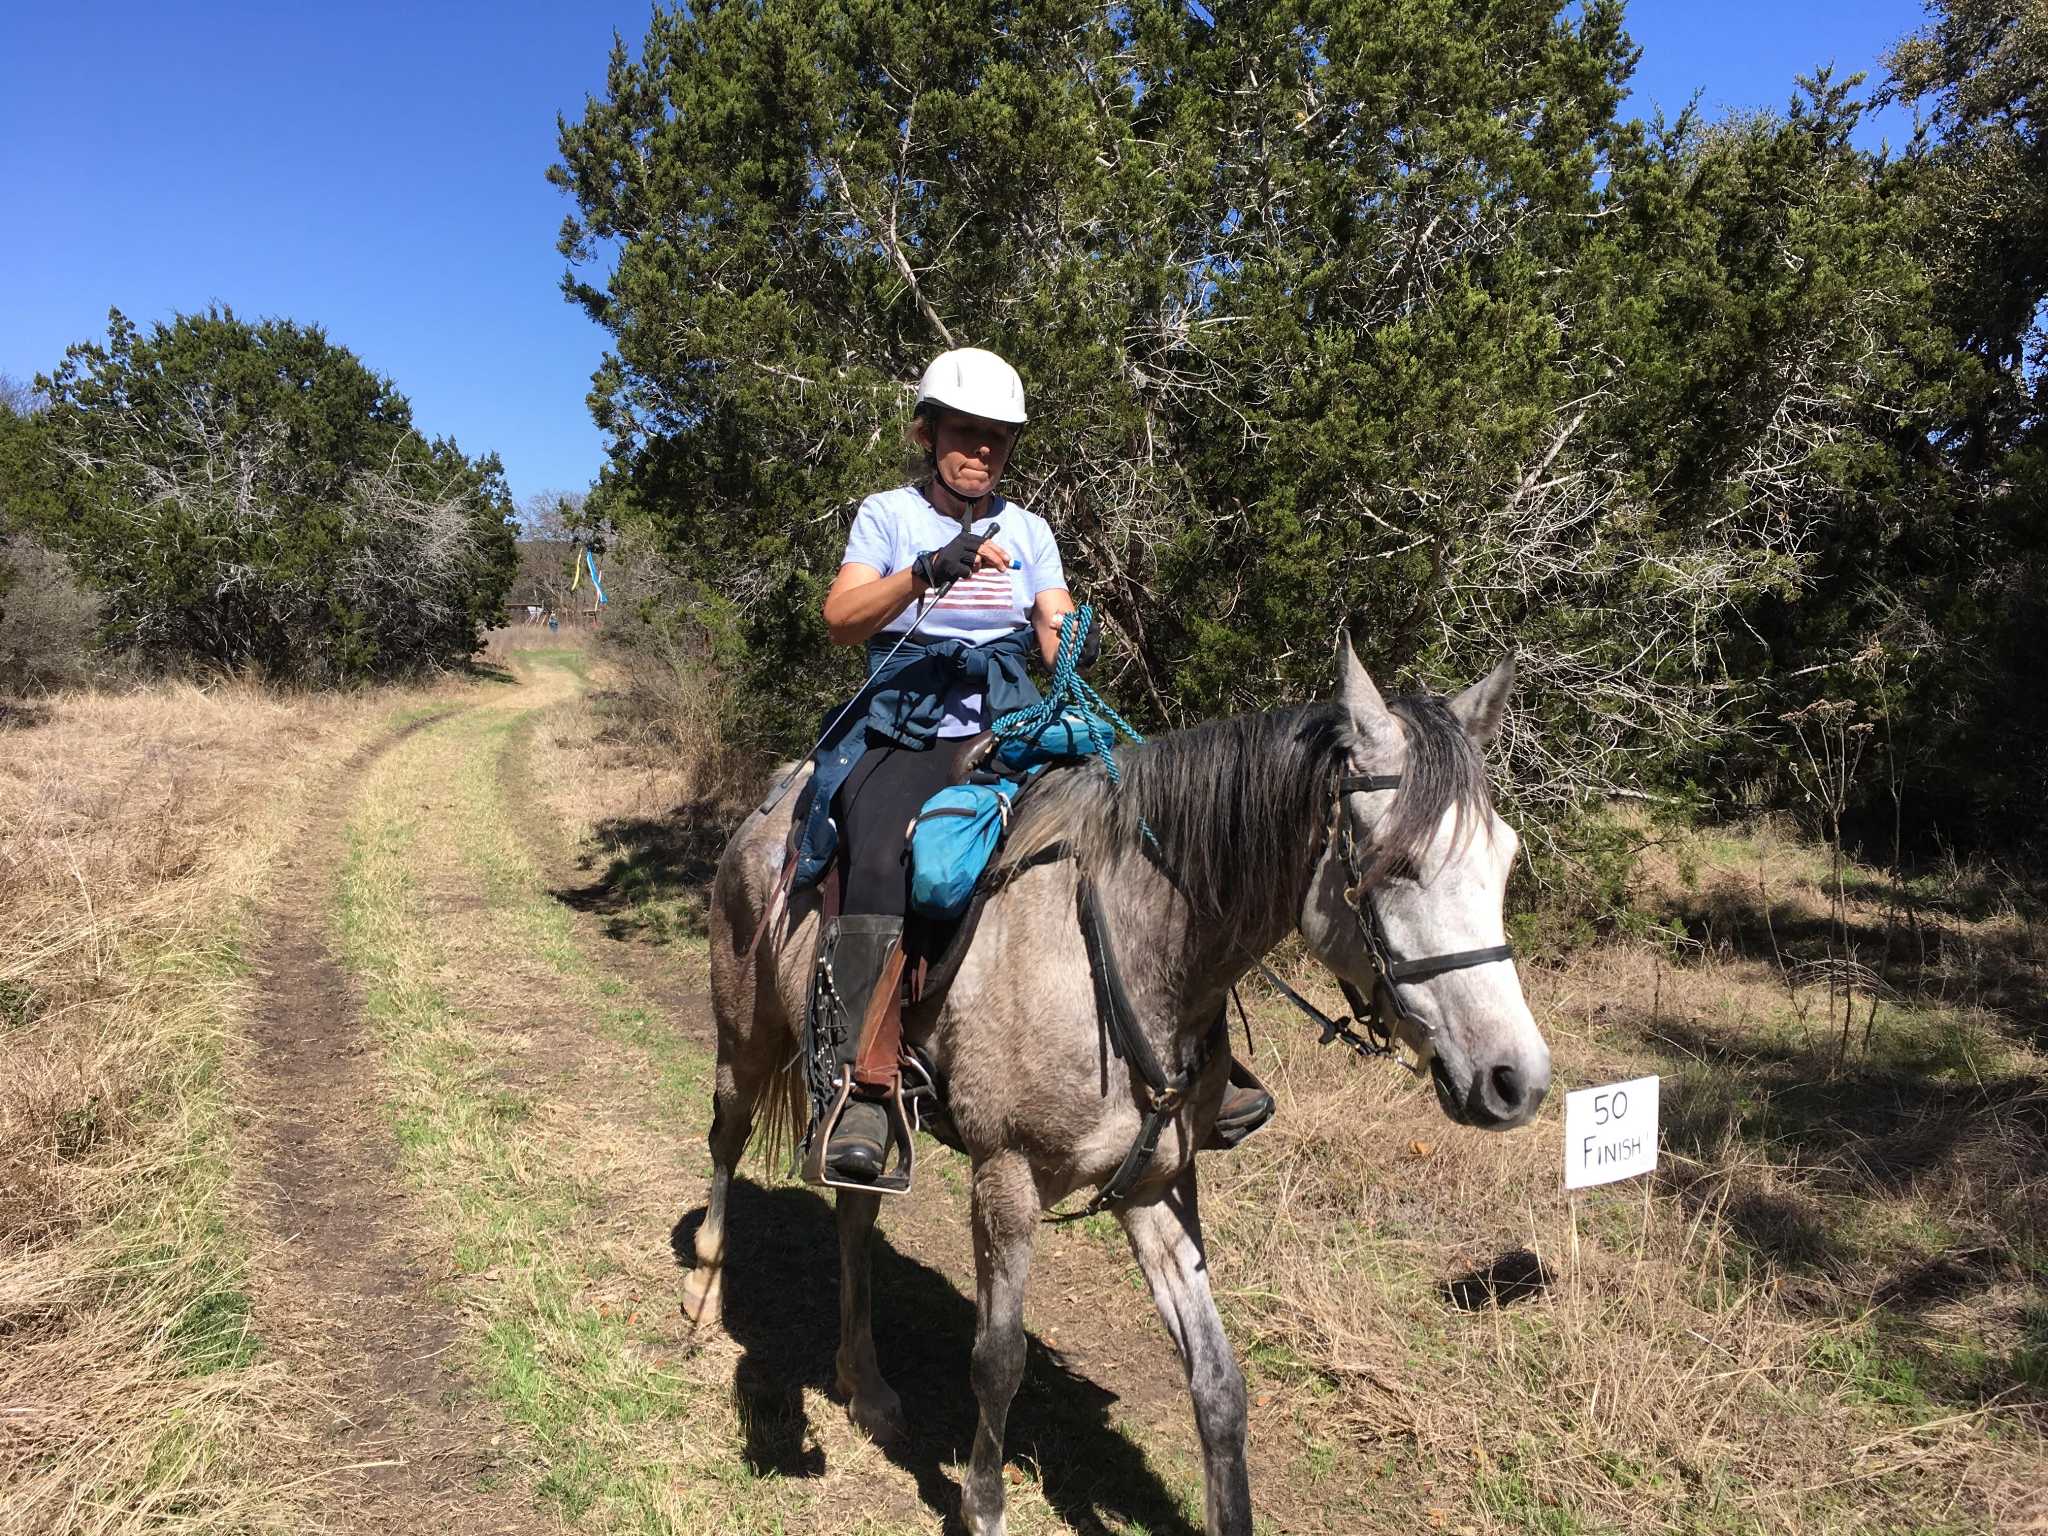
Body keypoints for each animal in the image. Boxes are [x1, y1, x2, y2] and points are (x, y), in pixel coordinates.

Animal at [679, 634, 1540, 1536]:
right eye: (1393, 866)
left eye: (1506, 859)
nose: (1515, 1080)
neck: (1119, 949)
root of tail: (777, 798)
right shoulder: (1007, 1180)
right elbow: (998, 1359)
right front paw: (983, 1508)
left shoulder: (1156, 1186)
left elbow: (1219, 1384)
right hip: (745, 1038)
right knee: (727, 1141)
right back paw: (703, 1298)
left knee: (854, 1209)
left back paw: (866, 1383)